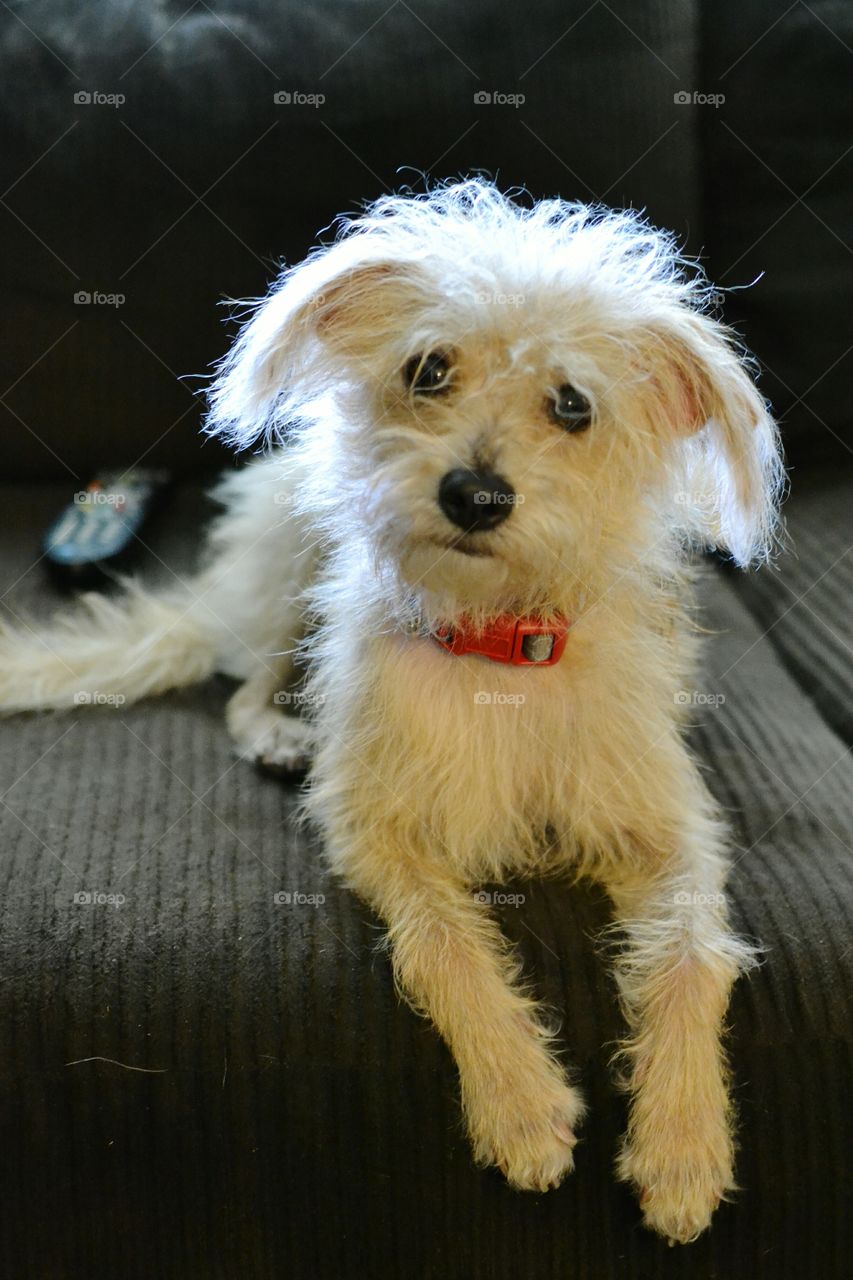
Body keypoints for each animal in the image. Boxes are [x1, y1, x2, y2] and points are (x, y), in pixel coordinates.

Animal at [1, 183, 783, 1249]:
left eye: (572, 405)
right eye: (428, 370)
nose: (474, 494)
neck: (494, 644)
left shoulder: (672, 830)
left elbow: (690, 959)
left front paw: (683, 1144)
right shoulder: (376, 826)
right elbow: (446, 944)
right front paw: (520, 1100)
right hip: (294, 560)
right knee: (246, 681)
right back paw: (280, 734)